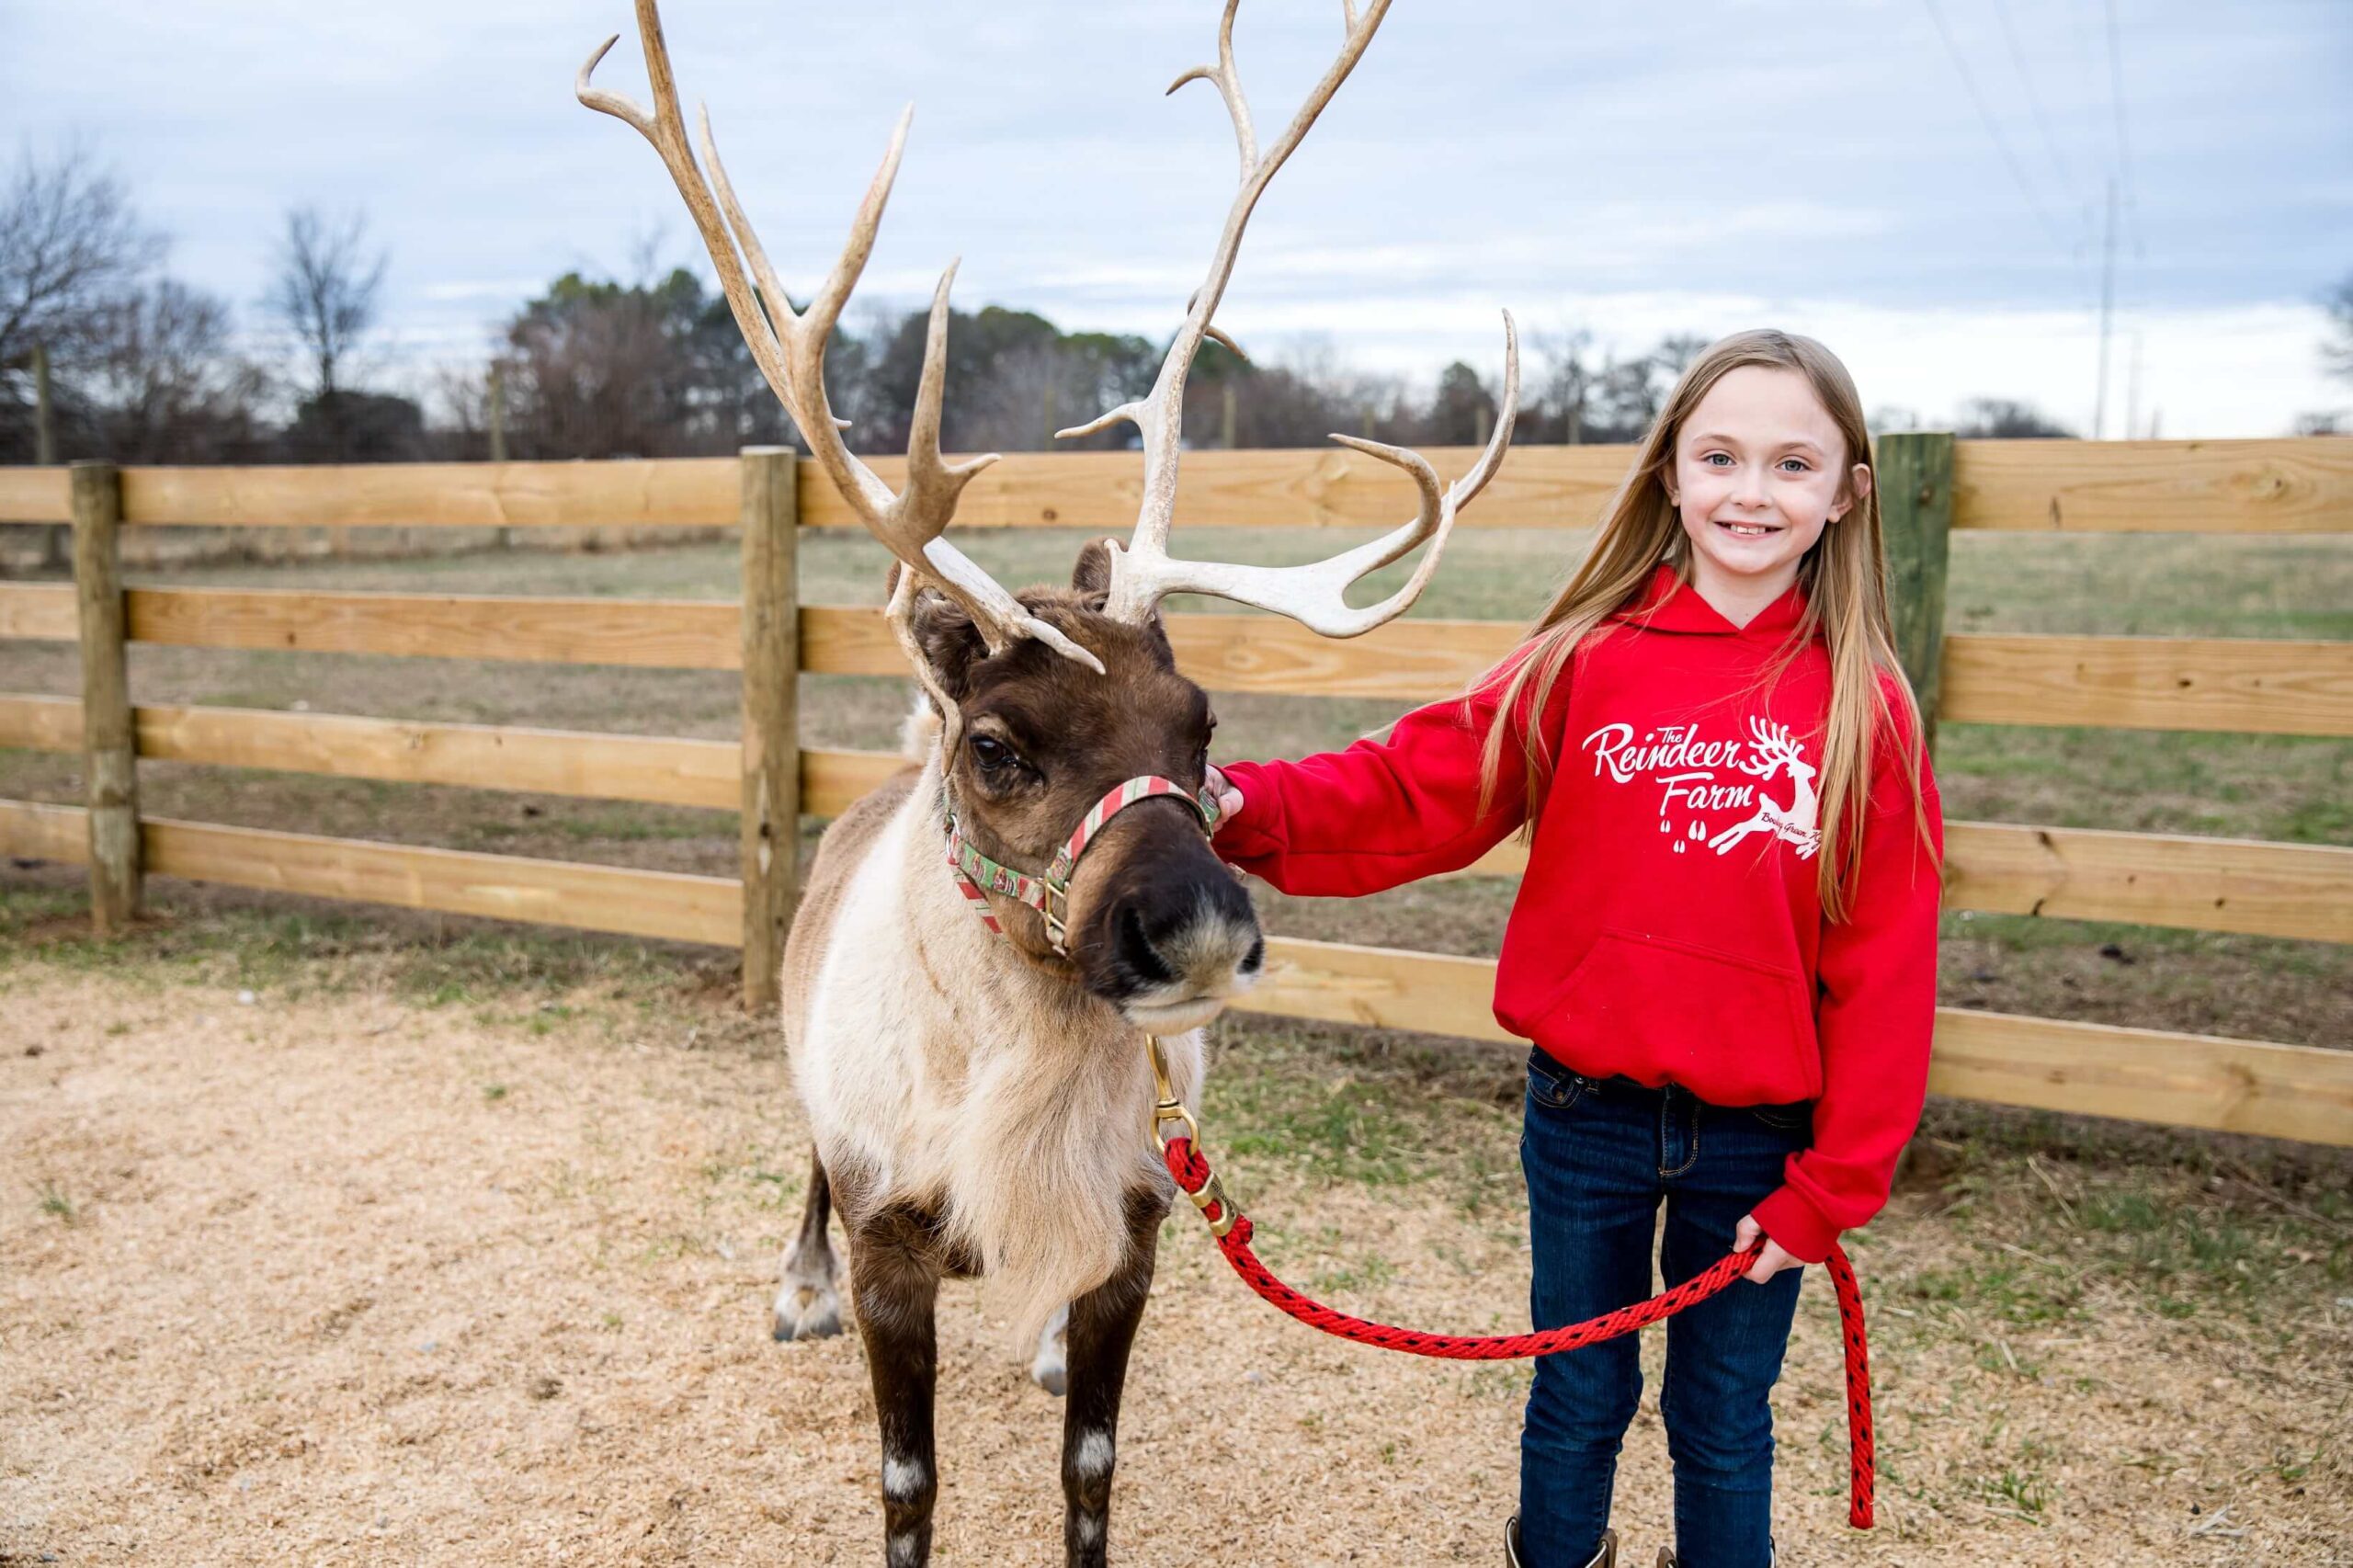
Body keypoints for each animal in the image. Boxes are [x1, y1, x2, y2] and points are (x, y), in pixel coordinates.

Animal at [578, 3, 1516, 1563]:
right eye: (998, 744)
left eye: (1203, 723)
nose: (1200, 929)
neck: (1020, 1105)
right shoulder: (892, 1231)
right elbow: (909, 1484)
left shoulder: (1134, 1225)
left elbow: (1090, 1467)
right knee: (799, 1162)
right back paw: (793, 1287)